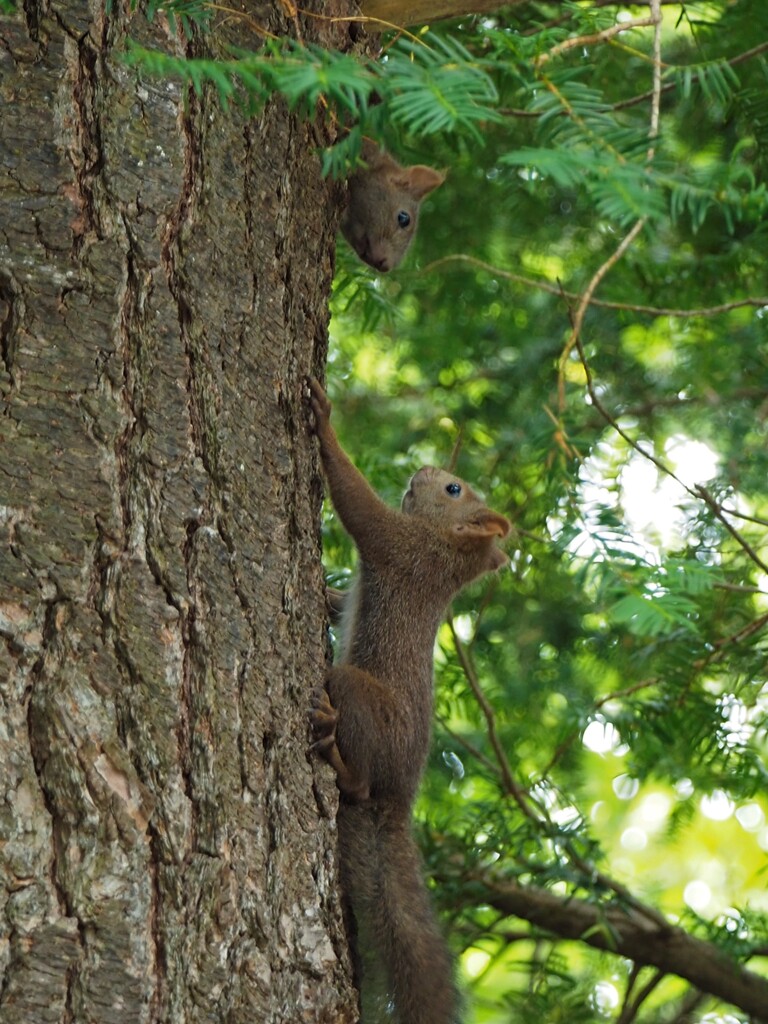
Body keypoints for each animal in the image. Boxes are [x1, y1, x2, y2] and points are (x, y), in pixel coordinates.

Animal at [307, 380, 512, 1024]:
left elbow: (358, 505)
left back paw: (340, 757)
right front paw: (327, 593)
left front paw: (325, 422)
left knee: (359, 783)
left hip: (357, 695)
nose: (425, 468)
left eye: (453, 489)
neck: (446, 554)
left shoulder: (400, 546)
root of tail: (401, 796)